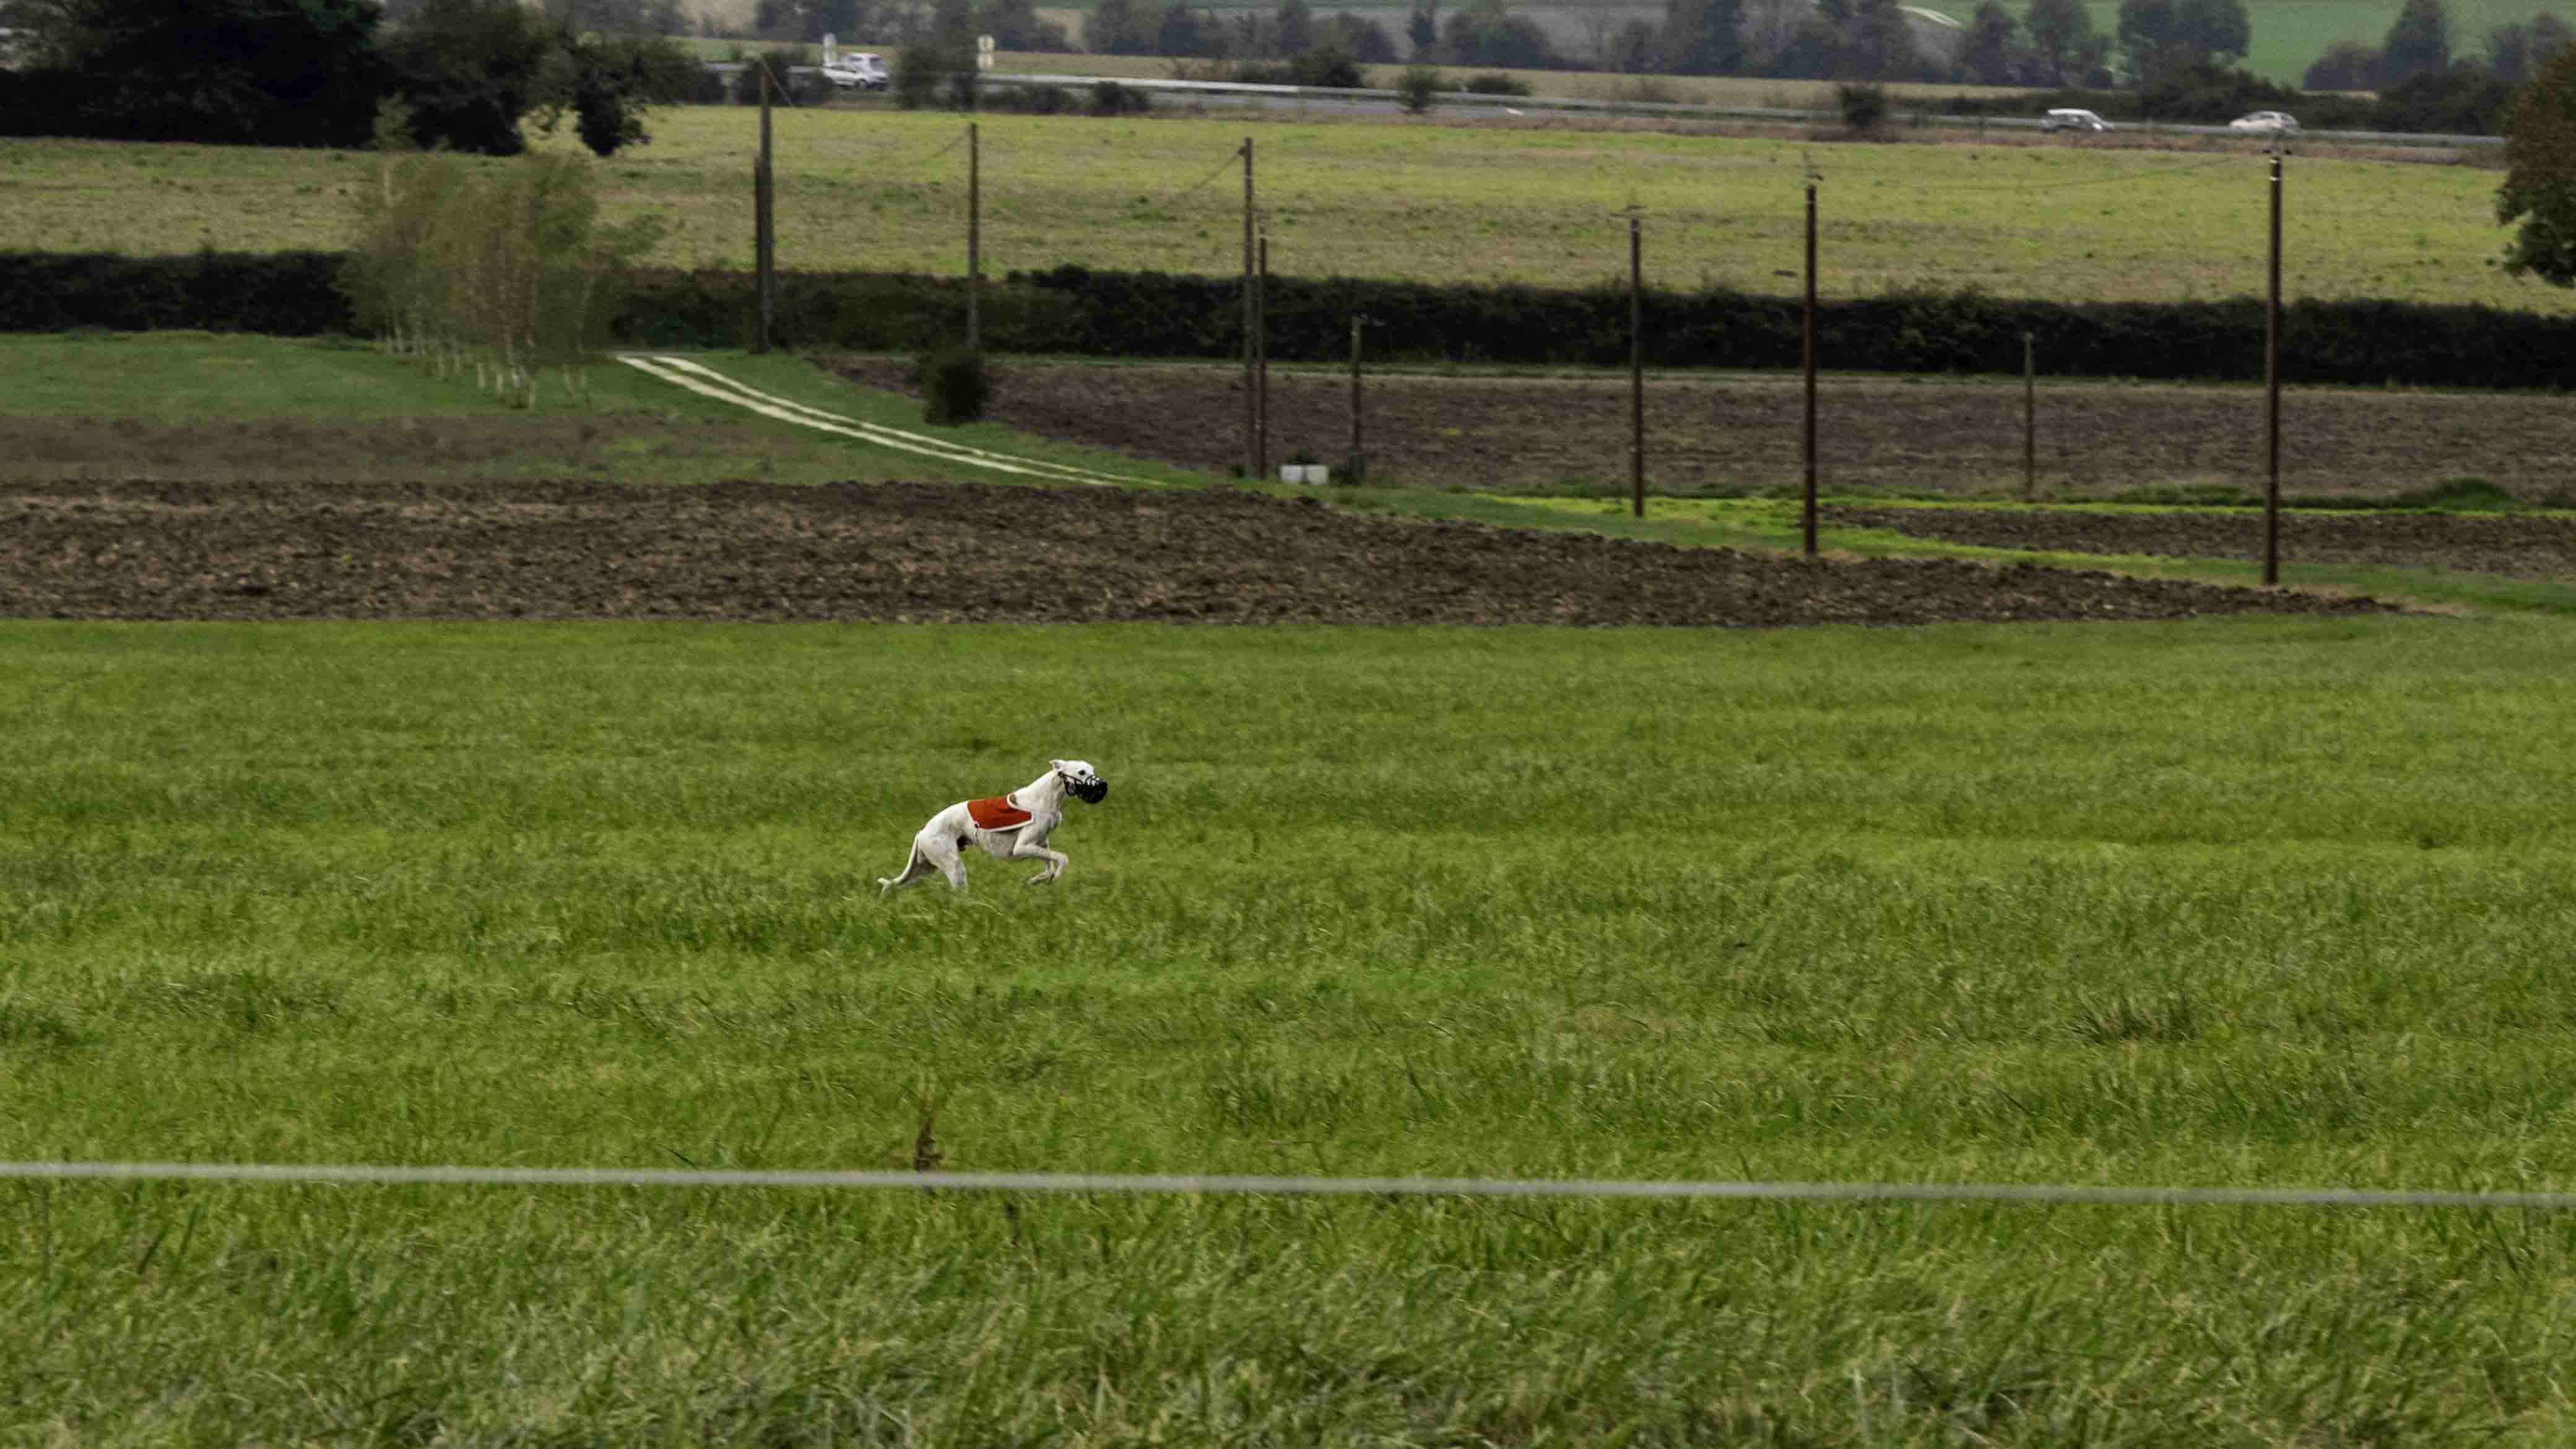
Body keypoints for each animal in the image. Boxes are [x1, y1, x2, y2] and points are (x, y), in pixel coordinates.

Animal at [875, 761, 1108, 896]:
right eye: (1081, 772)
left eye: (1092, 770)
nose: (1103, 786)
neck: (1047, 796)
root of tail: (922, 831)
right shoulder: (1022, 848)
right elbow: (1062, 858)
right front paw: (1055, 876)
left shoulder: (1041, 844)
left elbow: (1049, 865)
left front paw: (1037, 879)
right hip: (950, 864)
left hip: (924, 867)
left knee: (896, 885)